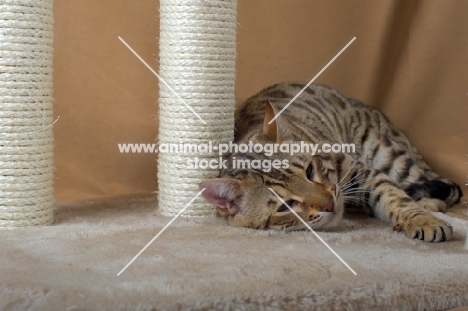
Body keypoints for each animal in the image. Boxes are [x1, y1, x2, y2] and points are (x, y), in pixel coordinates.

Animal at [199, 83, 462, 244]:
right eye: (285, 206)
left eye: (309, 170)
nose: (329, 204)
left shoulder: (360, 171)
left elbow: (395, 197)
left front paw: (422, 220)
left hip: (389, 156)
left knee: (434, 184)